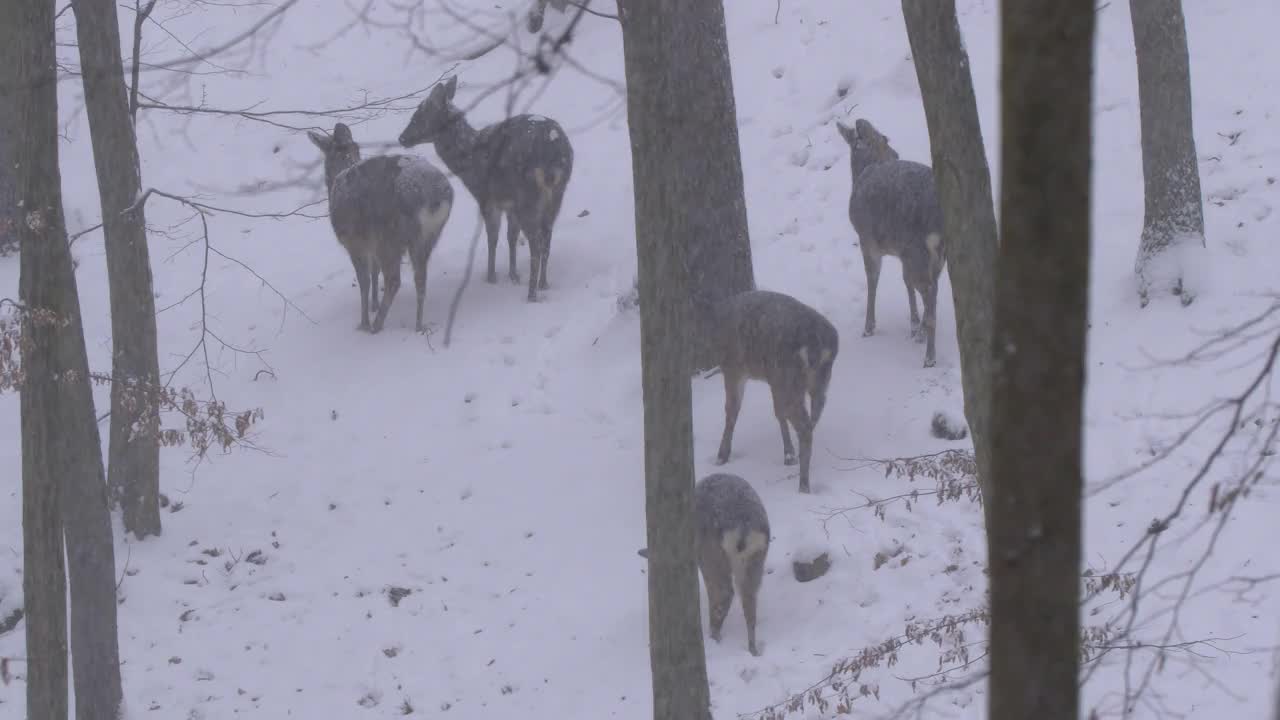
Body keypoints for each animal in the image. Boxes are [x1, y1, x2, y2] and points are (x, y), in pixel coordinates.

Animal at [307, 122, 453, 333]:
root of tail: (434, 197)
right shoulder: (370, 242)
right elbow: (374, 272)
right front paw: (374, 305)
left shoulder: (354, 241)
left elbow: (364, 280)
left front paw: (364, 321)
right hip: (428, 236)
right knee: (420, 278)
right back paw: (418, 326)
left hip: (390, 236)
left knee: (394, 280)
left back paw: (376, 326)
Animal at [396, 76, 573, 302]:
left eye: (419, 115)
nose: (402, 138)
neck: (471, 159)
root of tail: (553, 151)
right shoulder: (509, 202)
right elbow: (511, 236)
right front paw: (513, 275)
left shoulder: (487, 197)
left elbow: (493, 237)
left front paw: (491, 277)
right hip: (556, 194)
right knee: (547, 237)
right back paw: (543, 284)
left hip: (529, 195)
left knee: (536, 242)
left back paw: (531, 294)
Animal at [632, 471, 768, 655]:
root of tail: (743, 529)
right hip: (755, 560)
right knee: (749, 601)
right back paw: (753, 649)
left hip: (711, 556)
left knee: (723, 593)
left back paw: (713, 636)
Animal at [711, 288, 839, 489]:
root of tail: (815, 344)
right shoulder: (773, 379)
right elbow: (778, 412)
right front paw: (789, 453)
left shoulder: (733, 367)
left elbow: (732, 410)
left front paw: (722, 456)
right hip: (818, 380)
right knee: (814, 415)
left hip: (789, 379)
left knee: (804, 426)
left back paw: (803, 485)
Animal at [834, 118, 947, 366]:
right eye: (885, 137)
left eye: (857, 140)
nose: (861, 122)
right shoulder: (901, 252)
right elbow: (905, 282)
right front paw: (914, 325)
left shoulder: (867, 239)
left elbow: (872, 278)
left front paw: (868, 327)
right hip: (937, 254)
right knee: (932, 289)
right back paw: (923, 335)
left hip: (918, 250)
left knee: (930, 291)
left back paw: (930, 357)